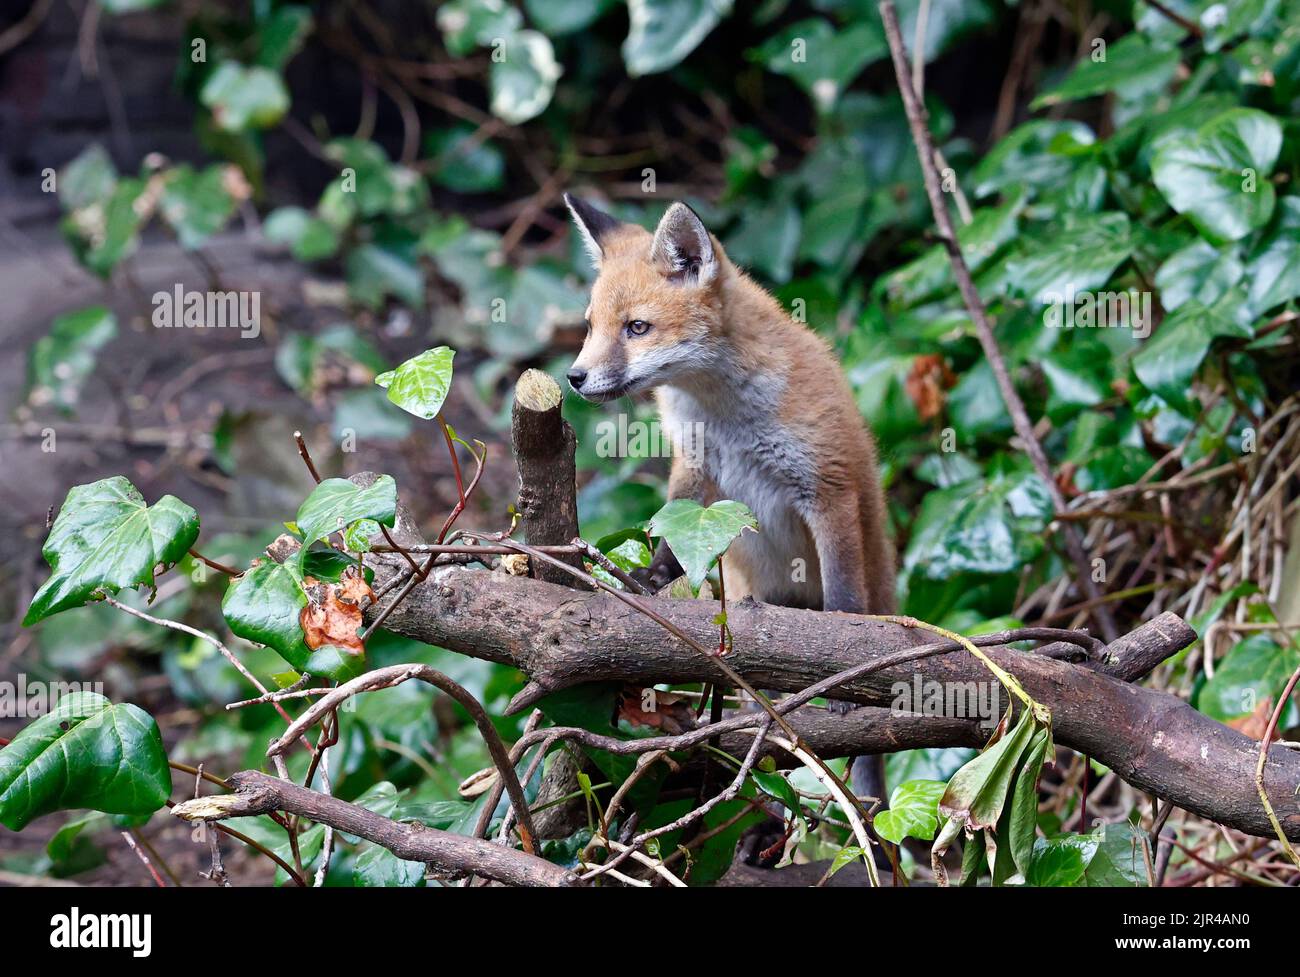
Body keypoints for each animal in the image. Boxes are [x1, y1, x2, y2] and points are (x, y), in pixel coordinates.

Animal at [563, 193, 897, 823]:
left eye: (636, 328)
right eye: (591, 327)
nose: (574, 377)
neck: (726, 416)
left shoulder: (828, 487)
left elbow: (843, 599)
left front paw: (841, 671)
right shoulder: (696, 473)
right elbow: (672, 531)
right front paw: (652, 580)